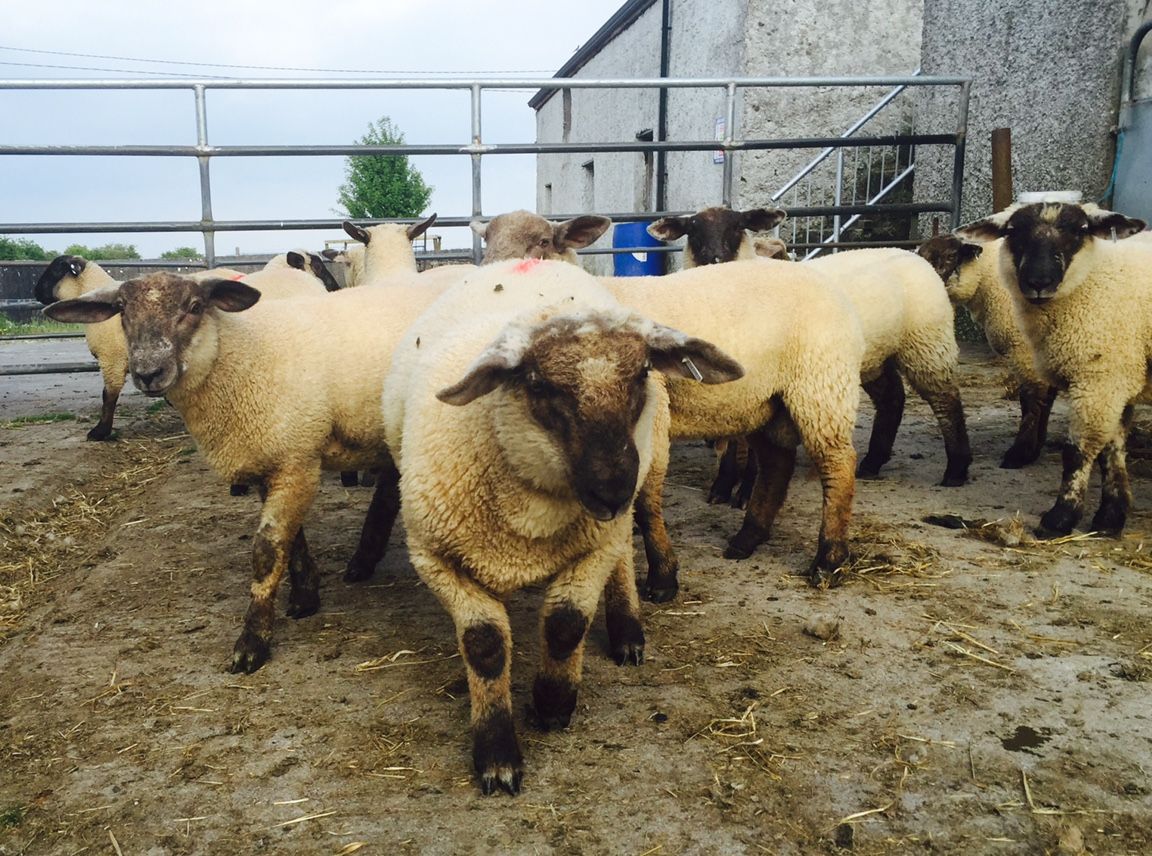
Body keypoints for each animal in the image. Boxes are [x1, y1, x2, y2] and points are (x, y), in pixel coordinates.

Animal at [44, 271, 452, 672]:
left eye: (195, 306)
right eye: (122, 309)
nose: (148, 372)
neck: (241, 355)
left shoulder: (296, 460)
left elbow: (266, 551)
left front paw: (253, 643)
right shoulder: (270, 461)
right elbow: (292, 540)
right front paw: (305, 596)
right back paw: (363, 561)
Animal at [381, 258, 742, 794]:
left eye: (642, 372)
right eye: (537, 383)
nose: (612, 486)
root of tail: (534, 260)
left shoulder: (593, 547)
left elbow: (566, 624)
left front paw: (552, 702)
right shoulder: (435, 558)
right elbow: (485, 645)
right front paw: (497, 752)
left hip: (649, 467)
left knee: (637, 532)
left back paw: (631, 626)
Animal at [917, 234, 1058, 468]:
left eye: (951, 256)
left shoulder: (1024, 347)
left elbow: (1031, 396)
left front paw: (1020, 453)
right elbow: (1046, 396)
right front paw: (1035, 448)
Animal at [955, 202, 1151, 537]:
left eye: (1080, 230)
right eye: (1012, 231)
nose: (1038, 282)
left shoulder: (1100, 379)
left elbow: (1077, 451)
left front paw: (1060, 517)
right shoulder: (1117, 376)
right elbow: (1112, 450)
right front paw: (1110, 516)